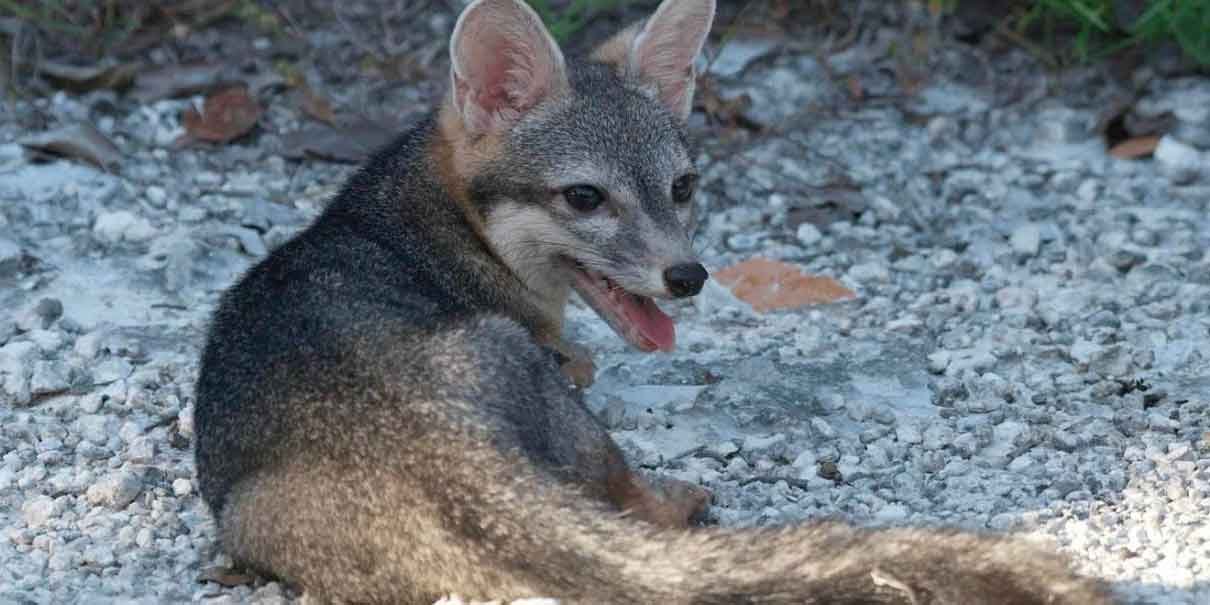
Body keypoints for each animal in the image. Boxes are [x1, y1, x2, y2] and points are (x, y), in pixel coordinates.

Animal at [193, 0, 1115, 603]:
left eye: (682, 186)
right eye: (585, 198)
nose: (688, 275)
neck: (421, 219)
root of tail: (429, 440)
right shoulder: (563, 358)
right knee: (632, 499)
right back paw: (681, 498)